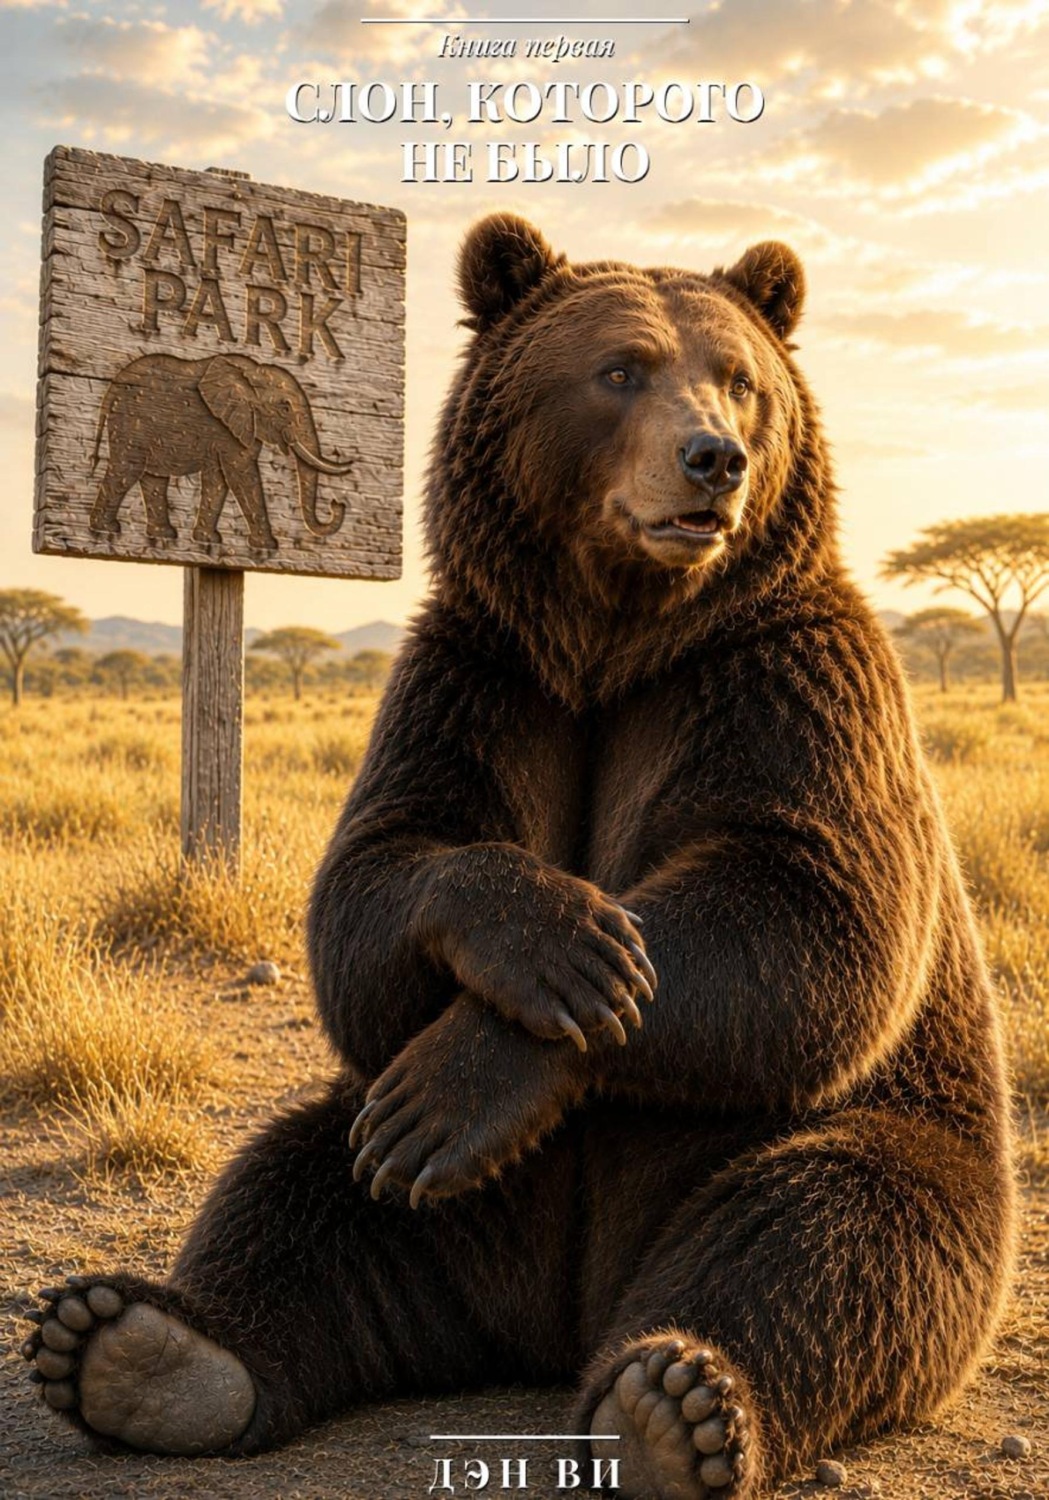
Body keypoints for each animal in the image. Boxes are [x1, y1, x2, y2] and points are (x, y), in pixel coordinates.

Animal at [89, 353, 354, 550]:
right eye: (285, 407)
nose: (337, 505)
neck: (252, 372)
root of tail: (109, 392)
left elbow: (218, 479)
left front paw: (208, 540)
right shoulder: (225, 429)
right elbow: (241, 475)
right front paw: (267, 545)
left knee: (153, 479)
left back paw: (163, 534)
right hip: (131, 425)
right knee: (127, 469)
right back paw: (106, 529)